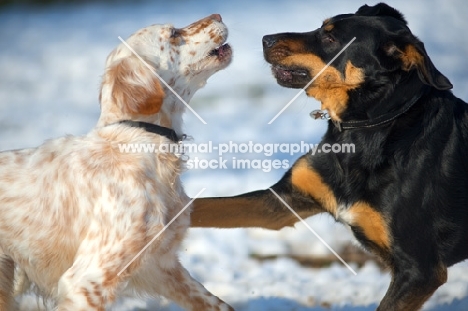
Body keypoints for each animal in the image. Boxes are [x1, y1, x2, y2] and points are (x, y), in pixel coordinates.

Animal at [0, 14, 232, 311]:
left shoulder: (160, 265)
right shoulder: (87, 281)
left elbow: (216, 303)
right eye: (173, 34)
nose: (218, 16)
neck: (141, 141)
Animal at [190, 3, 468, 311]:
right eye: (321, 26)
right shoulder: (283, 200)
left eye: (331, 38)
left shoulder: (420, 270)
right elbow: (203, 206)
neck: (367, 129)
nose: (265, 39)